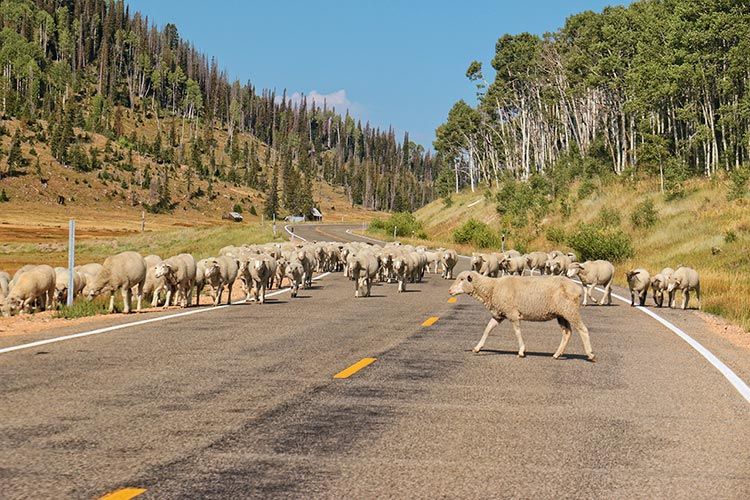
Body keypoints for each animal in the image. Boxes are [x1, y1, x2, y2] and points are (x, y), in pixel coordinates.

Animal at [450, 272, 596, 362]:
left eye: (462, 279)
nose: (450, 291)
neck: (492, 288)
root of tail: (578, 288)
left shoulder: (512, 313)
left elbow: (517, 332)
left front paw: (521, 351)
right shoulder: (499, 314)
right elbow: (488, 329)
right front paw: (477, 347)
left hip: (570, 310)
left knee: (582, 329)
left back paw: (590, 354)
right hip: (562, 313)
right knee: (567, 332)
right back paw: (556, 354)